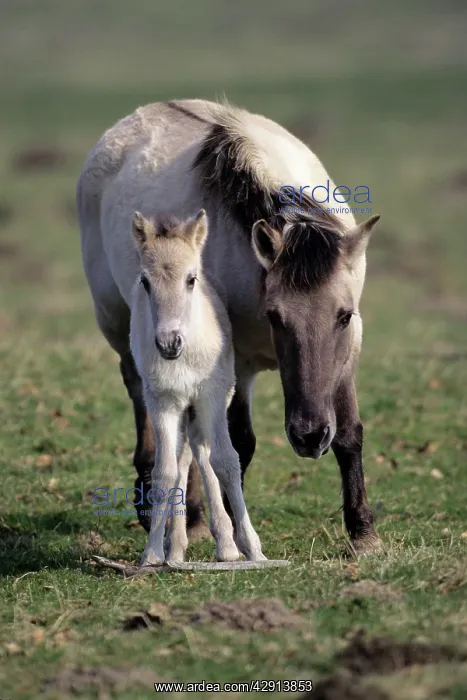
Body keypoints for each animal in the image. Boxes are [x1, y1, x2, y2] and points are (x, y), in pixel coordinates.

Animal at [129, 208, 265, 564]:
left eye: (191, 279)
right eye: (145, 282)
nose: (169, 343)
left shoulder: (212, 394)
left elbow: (226, 461)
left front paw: (252, 548)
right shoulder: (161, 400)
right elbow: (164, 472)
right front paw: (152, 553)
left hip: (208, 403)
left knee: (203, 453)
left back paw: (227, 545)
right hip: (182, 408)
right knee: (183, 459)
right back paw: (175, 548)